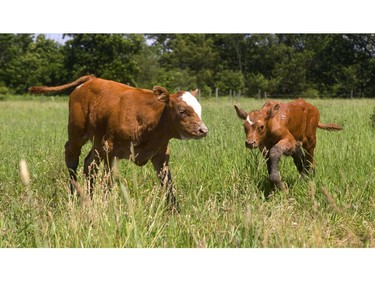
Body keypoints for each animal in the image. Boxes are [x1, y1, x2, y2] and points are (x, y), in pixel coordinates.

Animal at [29, 75, 210, 209]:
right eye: (182, 111)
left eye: (200, 110)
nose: (203, 130)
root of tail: (91, 79)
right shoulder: (111, 151)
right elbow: (107, 182)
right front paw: (105, 207)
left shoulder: (161, 154)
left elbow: (167, 183)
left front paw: (175, 211)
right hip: (77, 132)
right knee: (72, 159)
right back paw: (74, 196)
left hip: (98, 142)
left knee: (89, 164)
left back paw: (90, 199)